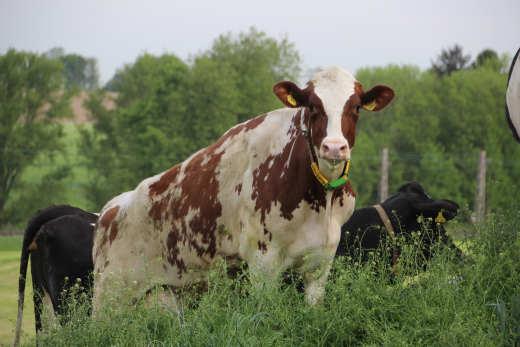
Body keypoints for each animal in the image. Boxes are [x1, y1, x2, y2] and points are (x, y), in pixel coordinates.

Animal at [92, 66, 394, 308]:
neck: (320, 201)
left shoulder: (320, 265)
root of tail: (110, 209)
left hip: (174, 292)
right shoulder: (263, 264)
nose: (334, 147)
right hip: (110, 296)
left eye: (355, 108)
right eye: (311, 106)